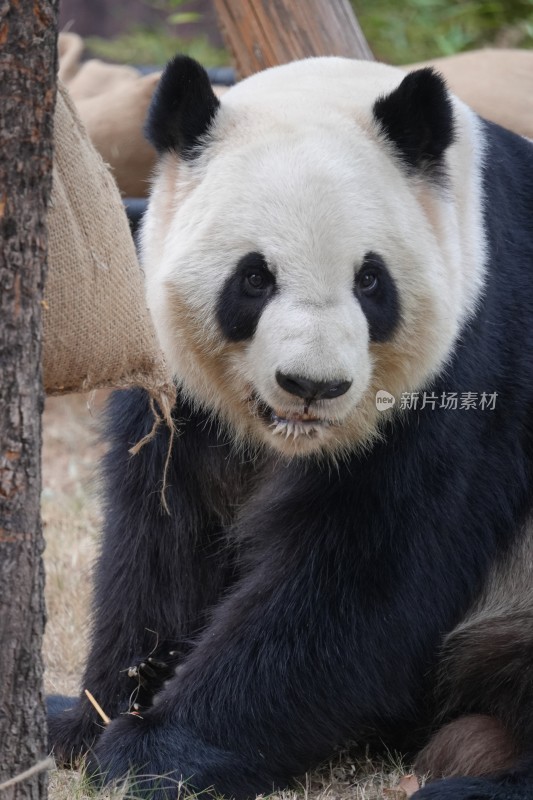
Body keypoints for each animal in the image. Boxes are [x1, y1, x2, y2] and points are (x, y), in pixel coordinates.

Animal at [46, 56, 532, 800]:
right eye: (254, 278)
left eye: (371, 280)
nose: (313, 387)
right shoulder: (183, 396)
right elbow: (163, 538)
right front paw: (95, 715)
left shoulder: (476, 359)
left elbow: (360, 578)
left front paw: (155, 753)